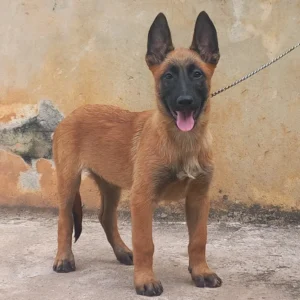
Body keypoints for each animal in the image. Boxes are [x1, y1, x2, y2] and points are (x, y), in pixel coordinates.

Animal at [53, 11, 223, 296]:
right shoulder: (142, 198)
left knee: (105, 217)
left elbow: (199, 239)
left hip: (110, 184)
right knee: (65, 219)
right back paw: (64, 258)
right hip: (68, 181)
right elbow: (146, 243)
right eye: (168, 76)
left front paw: (201, 272)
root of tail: (73, 114)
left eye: (198, 74)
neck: (181, 143)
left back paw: (122, 252)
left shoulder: (199, 198)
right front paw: (145, 280)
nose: (185, 102)